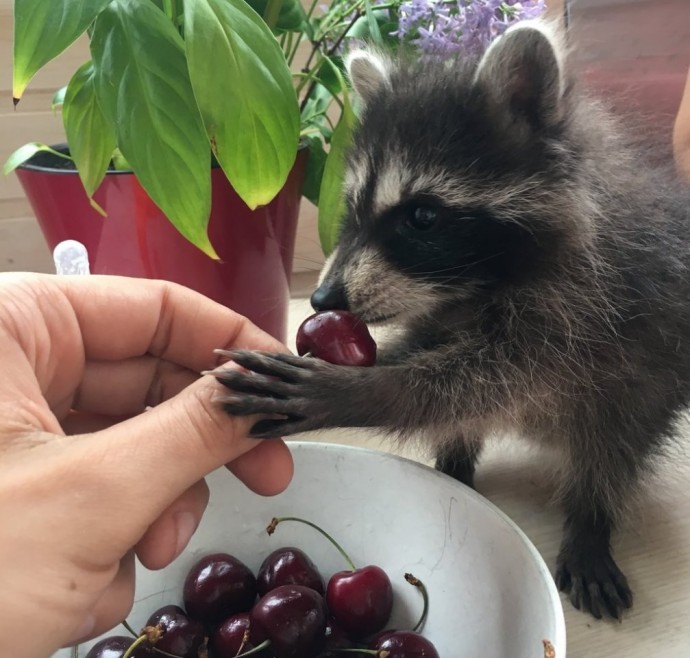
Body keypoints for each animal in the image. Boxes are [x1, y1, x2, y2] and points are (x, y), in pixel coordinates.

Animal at [218, 19, 688, 616]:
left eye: (422, 216)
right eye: (352, 208)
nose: (323, 300)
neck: (477, 285)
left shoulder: (588, 307)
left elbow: (494, 379)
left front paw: (364, 391)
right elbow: (439, 361)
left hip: (652, 370)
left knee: (614, 439)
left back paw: (590, 517)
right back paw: (456, 465)